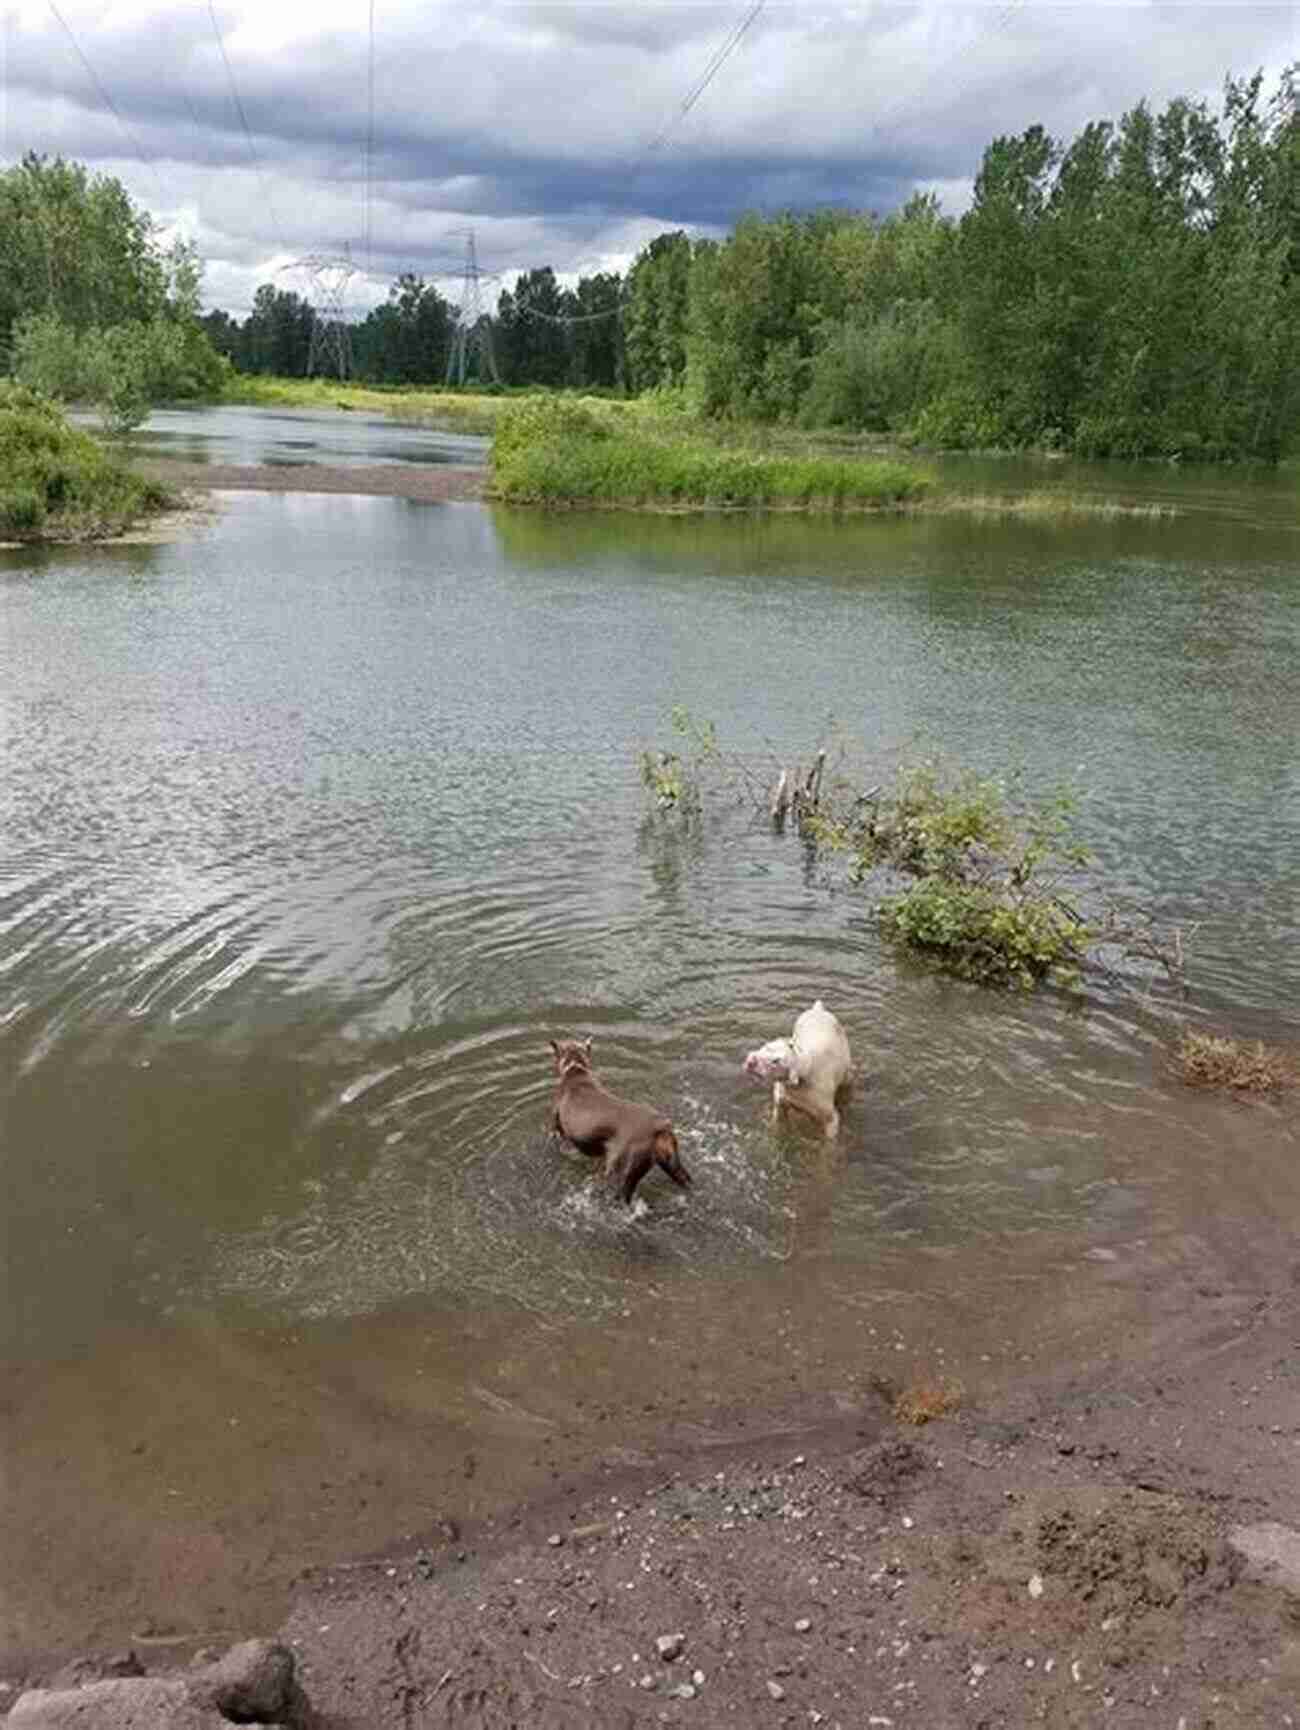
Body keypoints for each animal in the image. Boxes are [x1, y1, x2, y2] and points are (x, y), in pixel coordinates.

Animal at [740, 1003, 855, 1134]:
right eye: (766, 1046)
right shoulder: (781, 1103)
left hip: (846, 1070)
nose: (750, 1061)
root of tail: (818, 1009)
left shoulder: (830, 1118)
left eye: (776, 1061)